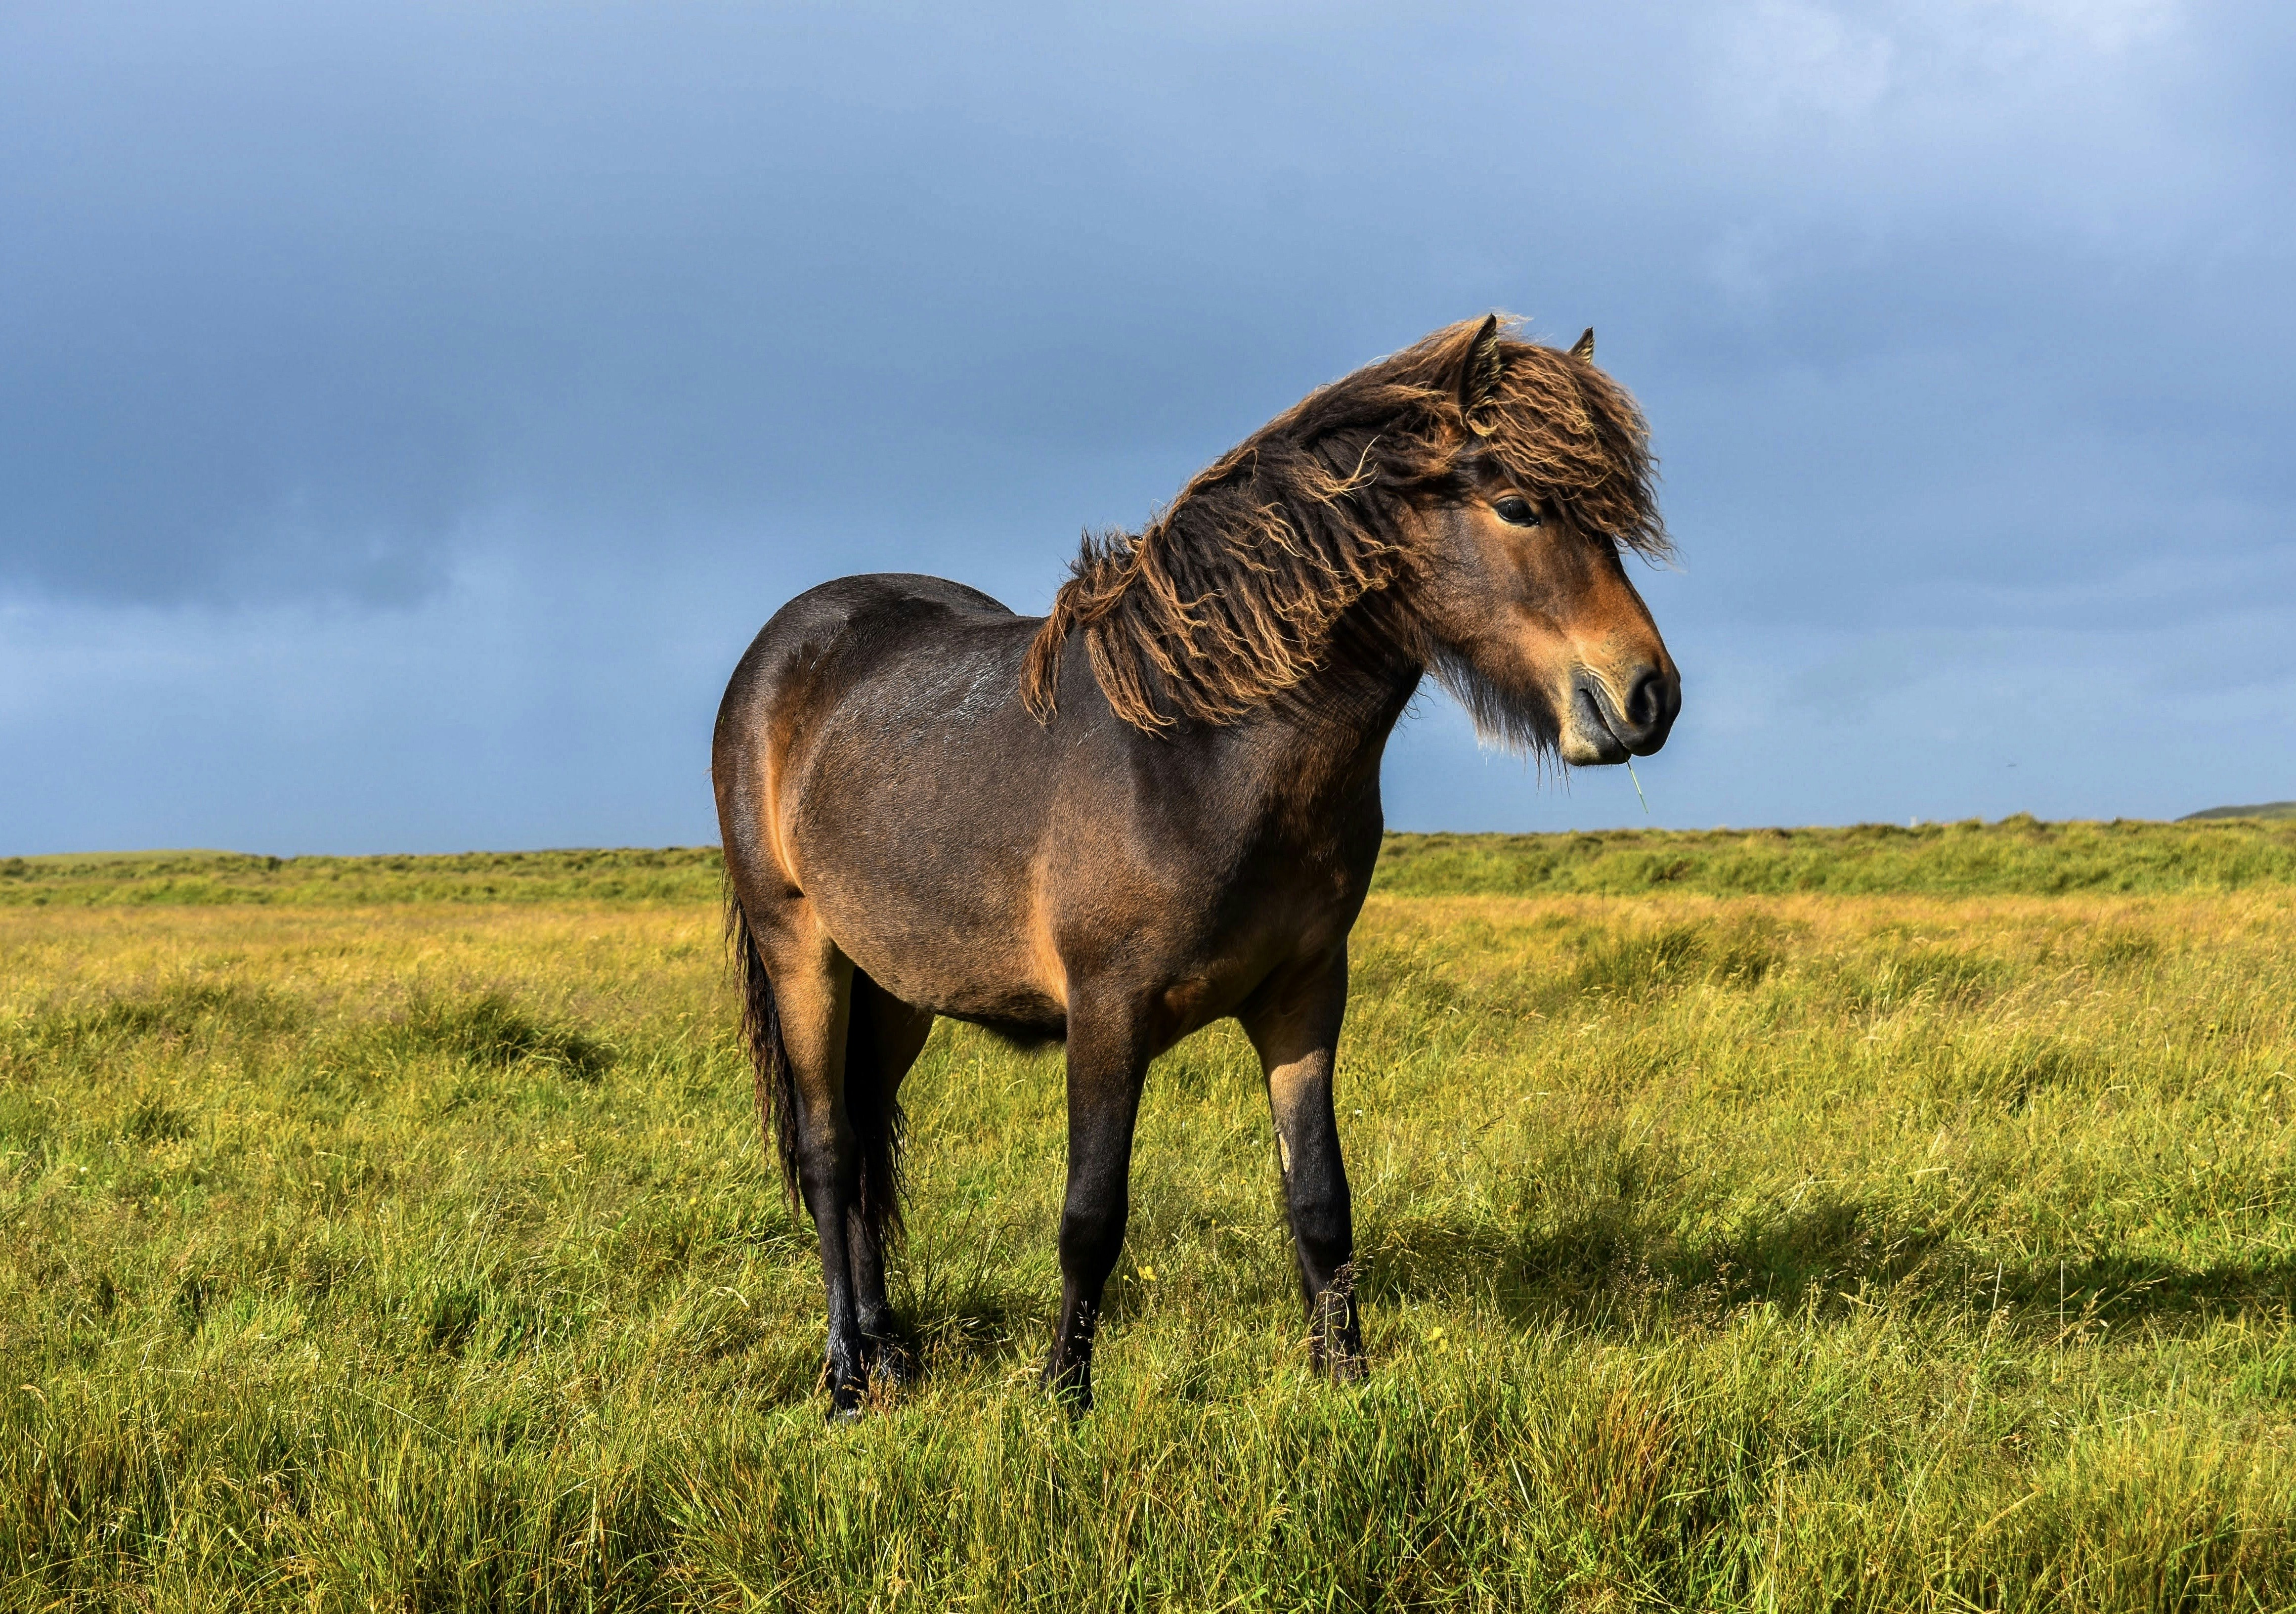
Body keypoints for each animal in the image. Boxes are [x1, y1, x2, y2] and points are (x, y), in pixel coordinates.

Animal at [712, 315, 1679, 1416]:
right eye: (1518, 506)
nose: (1648, 695)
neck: (1202, 750)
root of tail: (782, 650)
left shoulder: (1305, 998)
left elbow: (1321, 1200)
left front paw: (1347, 1381)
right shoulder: (1108, 1013)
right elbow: (1091, 1213)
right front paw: (1064, 1395)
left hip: (898, 986)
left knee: (870, 1139)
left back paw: (890, 1352)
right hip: (803, 949)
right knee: (831, 1150)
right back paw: (843, 1376)